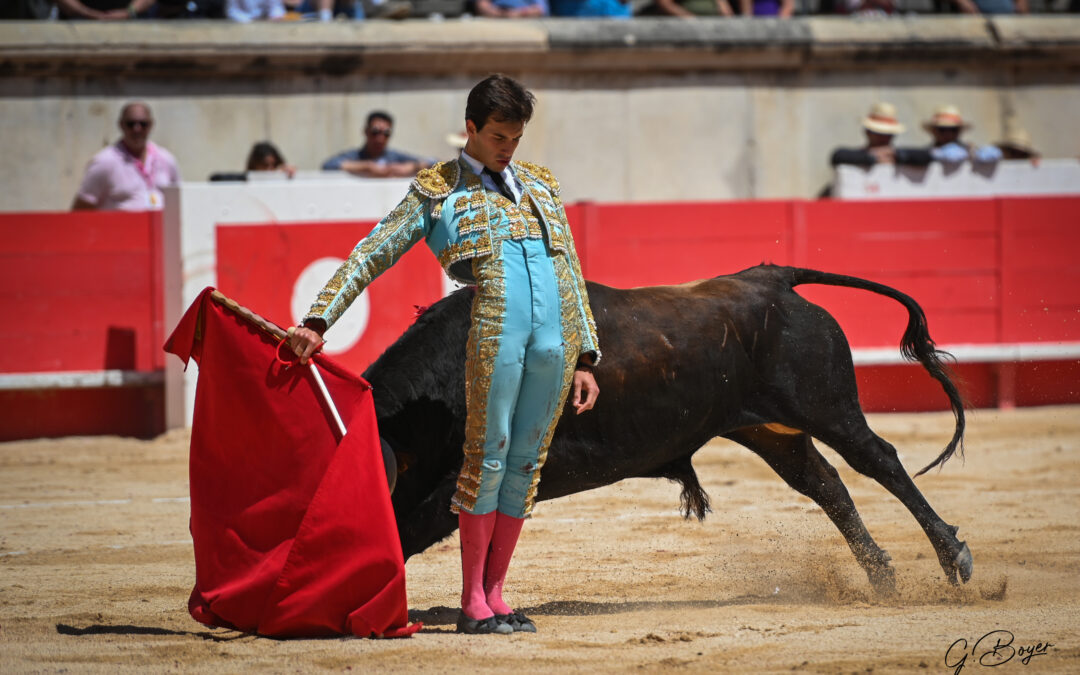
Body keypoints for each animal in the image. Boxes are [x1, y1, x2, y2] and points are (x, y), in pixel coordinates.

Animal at [367, 263, 976, 587]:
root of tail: (770, 278)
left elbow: (416, 521)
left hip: (826, 407)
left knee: (879, 461)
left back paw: (953, 558)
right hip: (768, 429)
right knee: (825, 484)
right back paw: (881, 575)